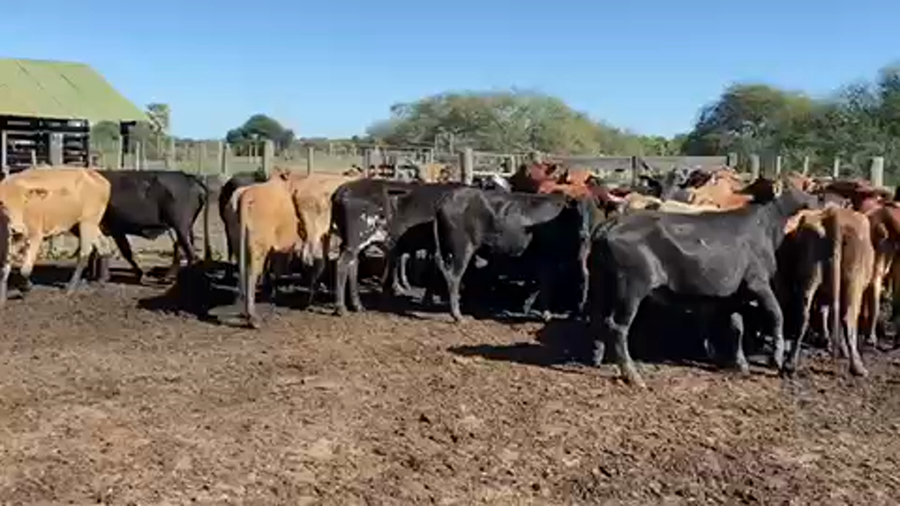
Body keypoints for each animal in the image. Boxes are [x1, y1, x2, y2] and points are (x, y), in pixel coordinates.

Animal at [0, 167, 112, 299]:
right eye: (3, 204)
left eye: (24, 201)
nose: (17, 228)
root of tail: (97, 177)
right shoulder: (13, 239)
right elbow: (6, 266)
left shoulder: (35, 235)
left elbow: (25, 269)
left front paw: (26, 287)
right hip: (82, 225)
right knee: (103, 245)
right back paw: (101, 280)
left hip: (87, 222)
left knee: (85, 252)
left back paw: (70, 289)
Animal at [431, 187, 595, 322]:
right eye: (577, 213)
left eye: (593, 213)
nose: (584, 234)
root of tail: (447, 198)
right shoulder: (547, 258)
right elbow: (545, 284)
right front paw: (545, 313)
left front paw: (527, 306)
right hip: (462, 249)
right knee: (454, 277)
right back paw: (457, 315)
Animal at [588, 181, 818, 388]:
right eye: (791, 186)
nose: (815, 197)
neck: (765, 226)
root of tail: (611, 224)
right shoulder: (757, 282)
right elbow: (777, 314)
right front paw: (777, 360)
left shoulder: (733, 295)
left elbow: (737, 327)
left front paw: (740, 364)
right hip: (631, 287)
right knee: (618, 327)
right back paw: (633, 376)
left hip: (601, 285)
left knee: (599, 319)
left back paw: (597, 356)